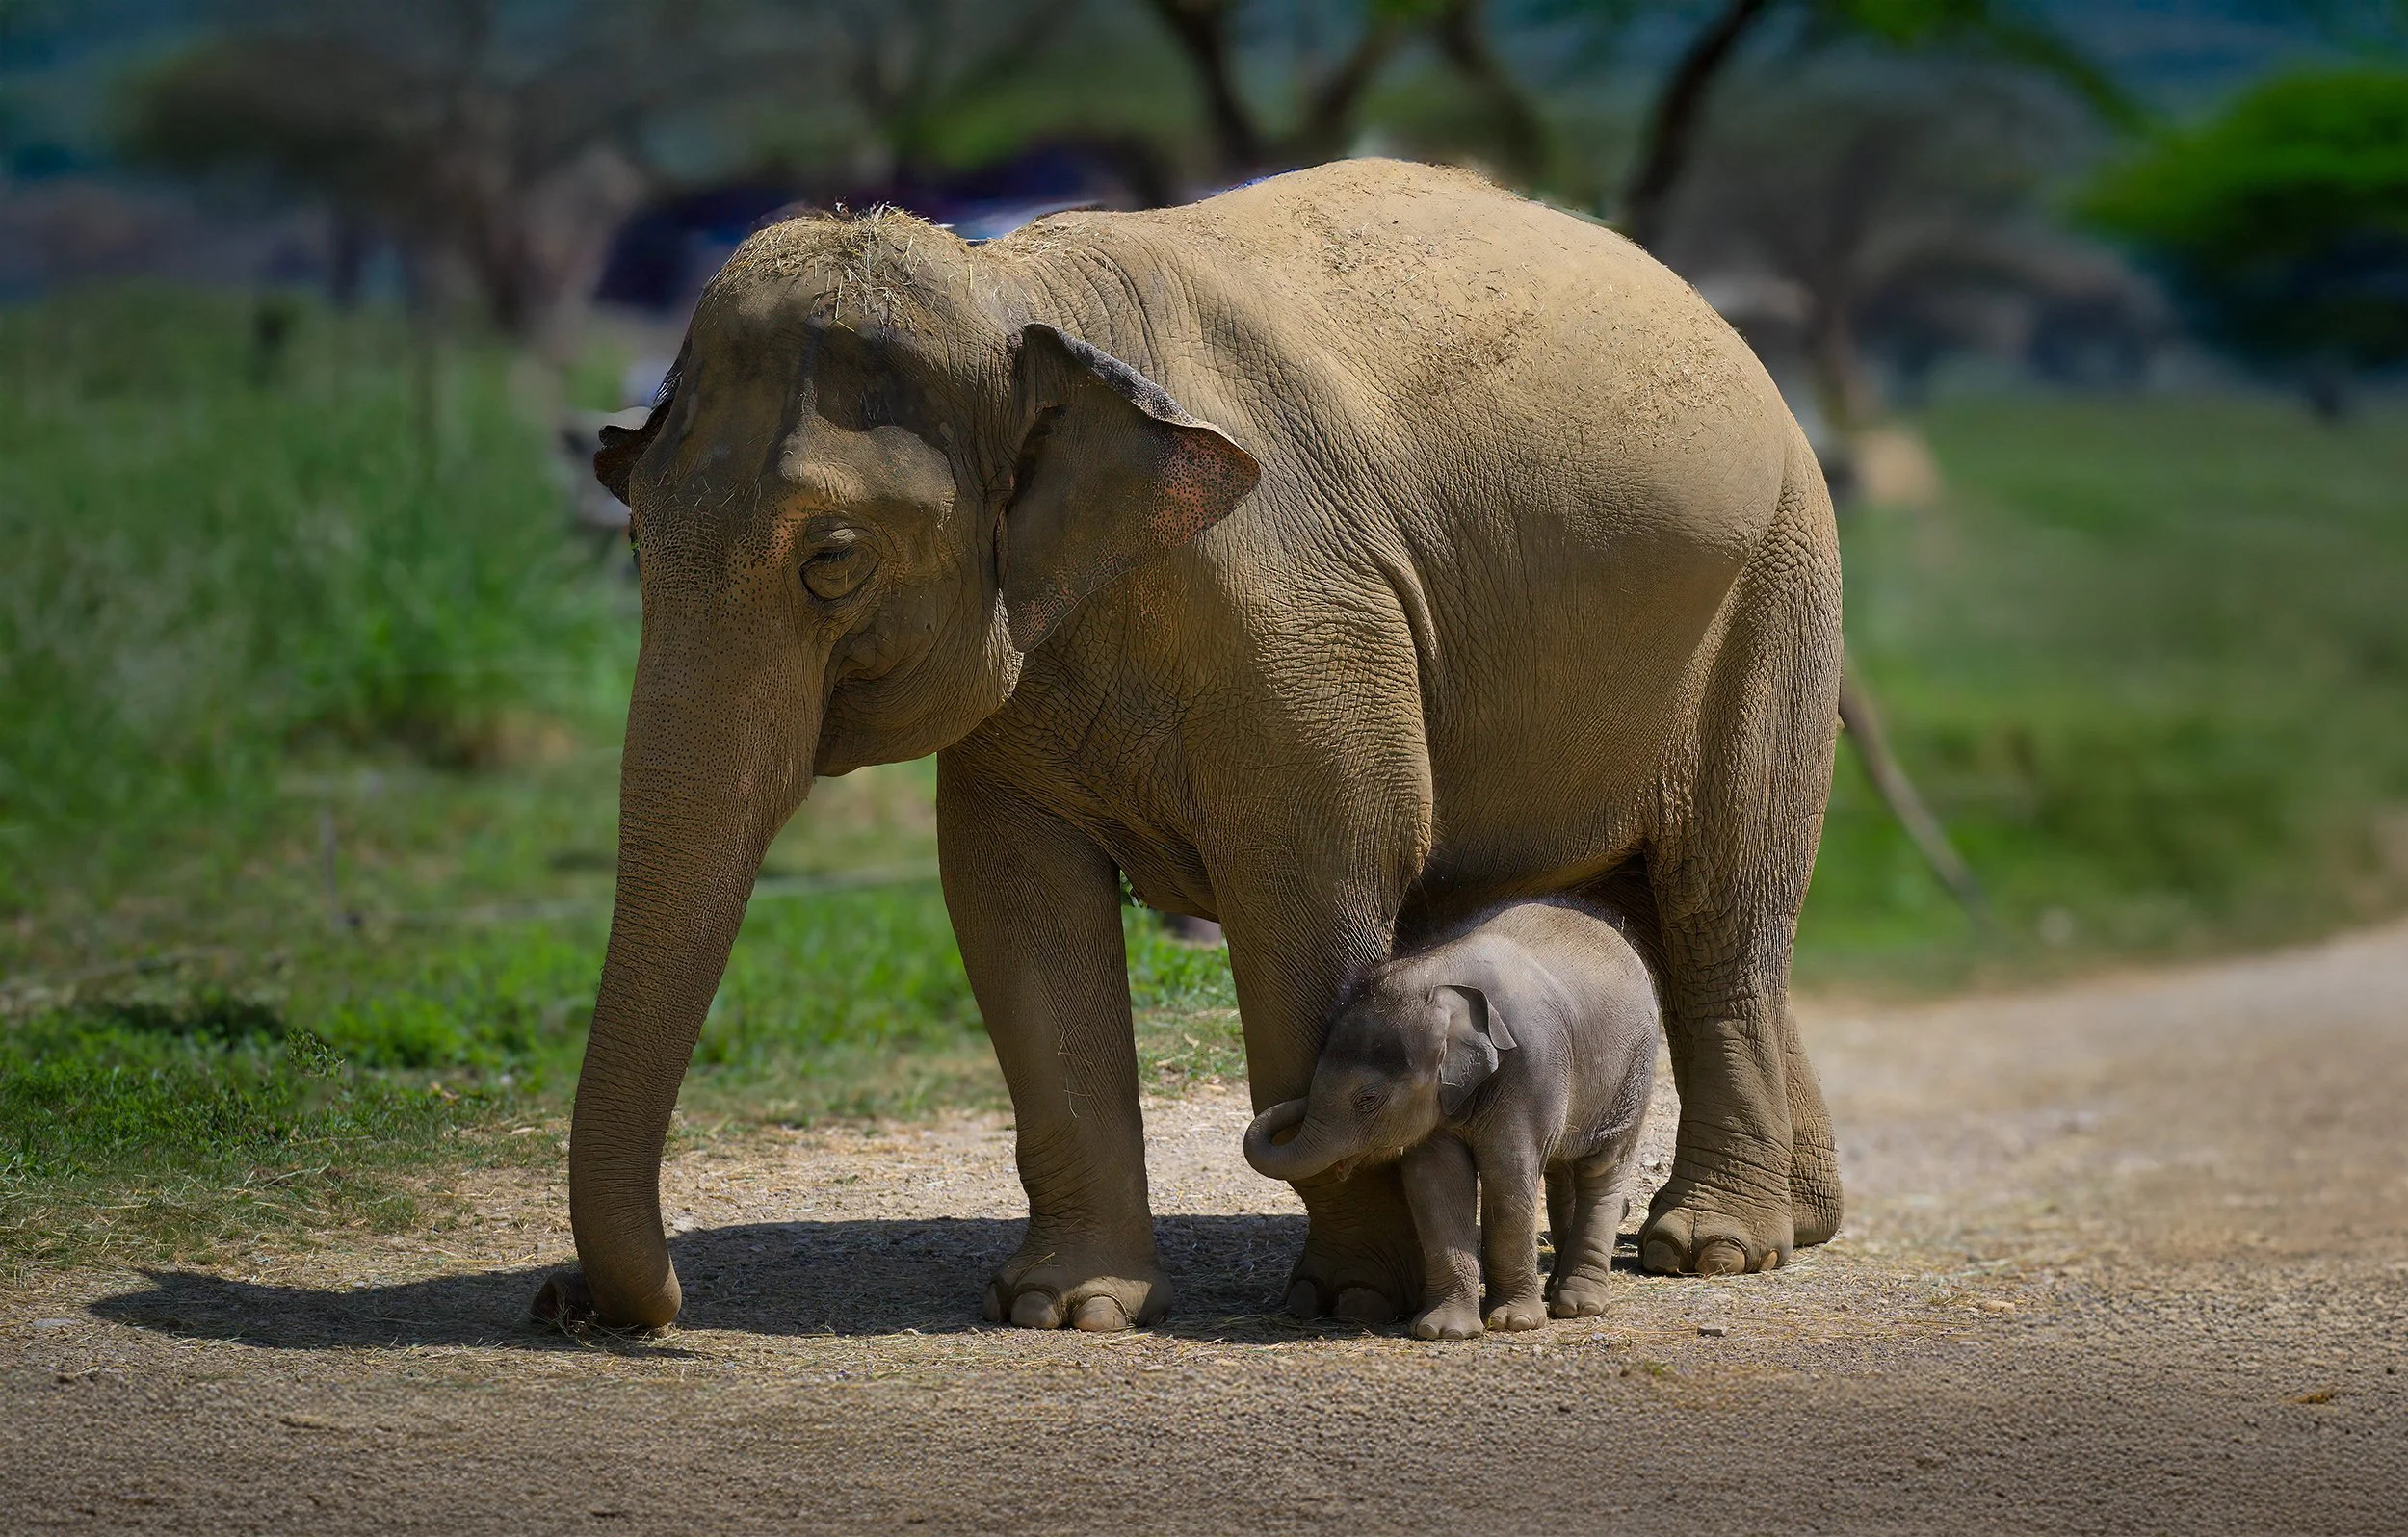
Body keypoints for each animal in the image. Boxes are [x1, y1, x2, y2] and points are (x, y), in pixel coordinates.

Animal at [1242, 899, 1659, 1340]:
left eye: (1367, 1099)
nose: (1296, 1099)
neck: (1441, 981)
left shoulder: (1533, 1062)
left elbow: (1507, 1170)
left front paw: (1514, 1323)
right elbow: (1436, 1177)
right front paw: (1445, 1331)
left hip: (1634, 1071)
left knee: (1603, 1168)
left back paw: (1580, 1305)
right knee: (1560, 1169)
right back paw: (1555, 1290)